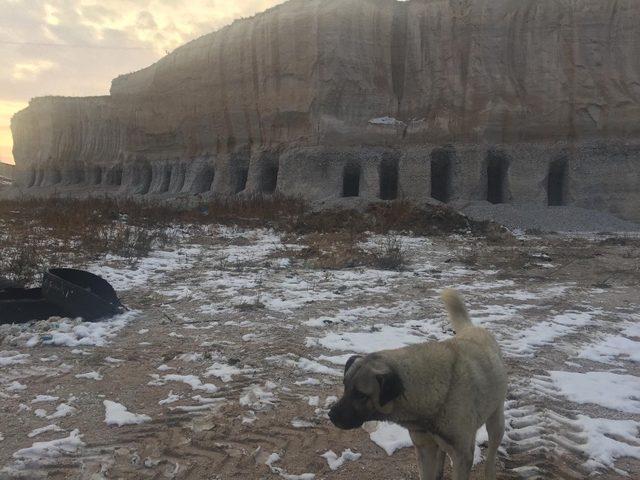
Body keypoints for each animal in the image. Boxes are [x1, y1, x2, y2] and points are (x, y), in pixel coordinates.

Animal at [330, 288, 504, 480]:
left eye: (361, 395)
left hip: (496, 420)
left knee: (491, 454)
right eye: (345, 386)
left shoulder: (462, 456)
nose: (331, 415)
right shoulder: (424, 448)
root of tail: (471, 328)